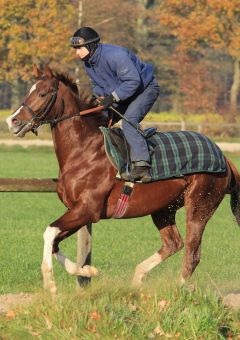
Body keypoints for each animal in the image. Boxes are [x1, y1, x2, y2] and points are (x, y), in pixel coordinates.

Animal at [6, 65, 240, 294]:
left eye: (43, 93)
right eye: (29, 91)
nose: (13, 121)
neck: (83, 151)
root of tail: (224, 157)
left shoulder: (87, 209)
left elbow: (50, 232)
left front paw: (50, 283)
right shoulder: (78, 210)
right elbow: (55, 242)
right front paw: (88, 270)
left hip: (199, 206)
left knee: (192, 252)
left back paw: (178, 288)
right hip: (163, 208)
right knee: (173, 243)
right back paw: (138, 279)